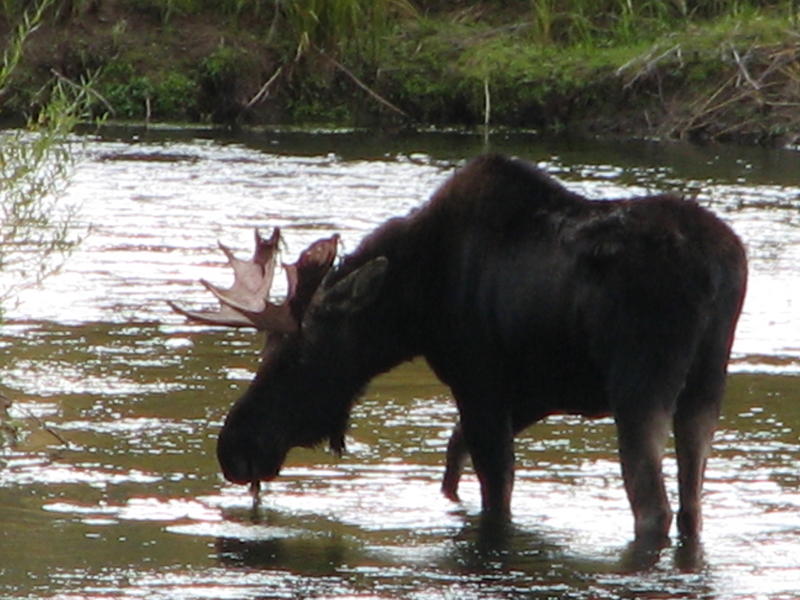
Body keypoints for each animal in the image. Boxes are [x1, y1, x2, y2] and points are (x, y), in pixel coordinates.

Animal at [170, 154, 752, 544]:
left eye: (297, 355)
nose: (234, 448)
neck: (413, 306)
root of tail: (720, 270)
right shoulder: (531, 395)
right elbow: (455, 459)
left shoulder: (480, 381)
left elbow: (494, 486)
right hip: (706, 384)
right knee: (693, 500)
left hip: (639, 382)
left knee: (652, 504)